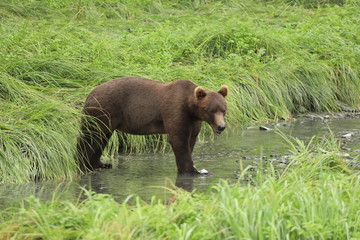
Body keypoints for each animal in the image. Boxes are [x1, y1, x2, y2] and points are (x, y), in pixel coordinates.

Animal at [76, 77, 228, 174]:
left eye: (224, 109)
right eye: (211, 110)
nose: (221, 126)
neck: (191, 108)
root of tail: (89, 94)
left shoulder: (194, 121)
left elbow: (190, 140)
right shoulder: (175, 110)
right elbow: (179, 140)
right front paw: (193, 170)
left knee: (101, 138)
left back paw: (100, 164)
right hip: (103, 111)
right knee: (90, 137)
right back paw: (84, 164)